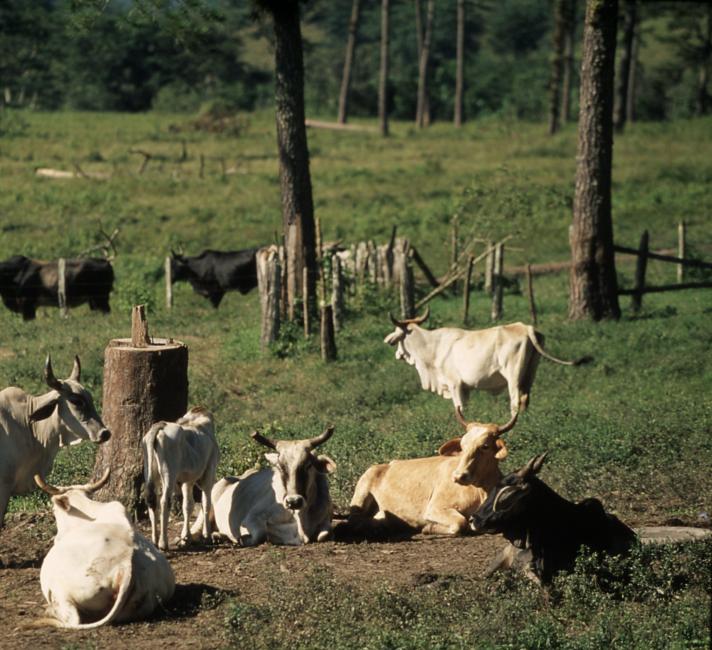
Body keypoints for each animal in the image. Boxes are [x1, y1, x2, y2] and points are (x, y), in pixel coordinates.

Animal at [342, 408, 516, 536]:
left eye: (485, 446)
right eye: (462, 445)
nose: (458, 476)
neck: (480, 491)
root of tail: (386, 464)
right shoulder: (435, 508)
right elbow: (460, 523)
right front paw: (428, 528)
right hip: (362, 492)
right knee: (355, 521)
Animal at [384, 308, 588, 416]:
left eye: (397, 331)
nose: (389, 343)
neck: (433, 346)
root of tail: (525, 327)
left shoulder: (455, 385)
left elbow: (460, 409)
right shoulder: (465, 388)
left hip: (513, 376)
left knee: (515, 400)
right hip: (530, 373)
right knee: (525, 398)